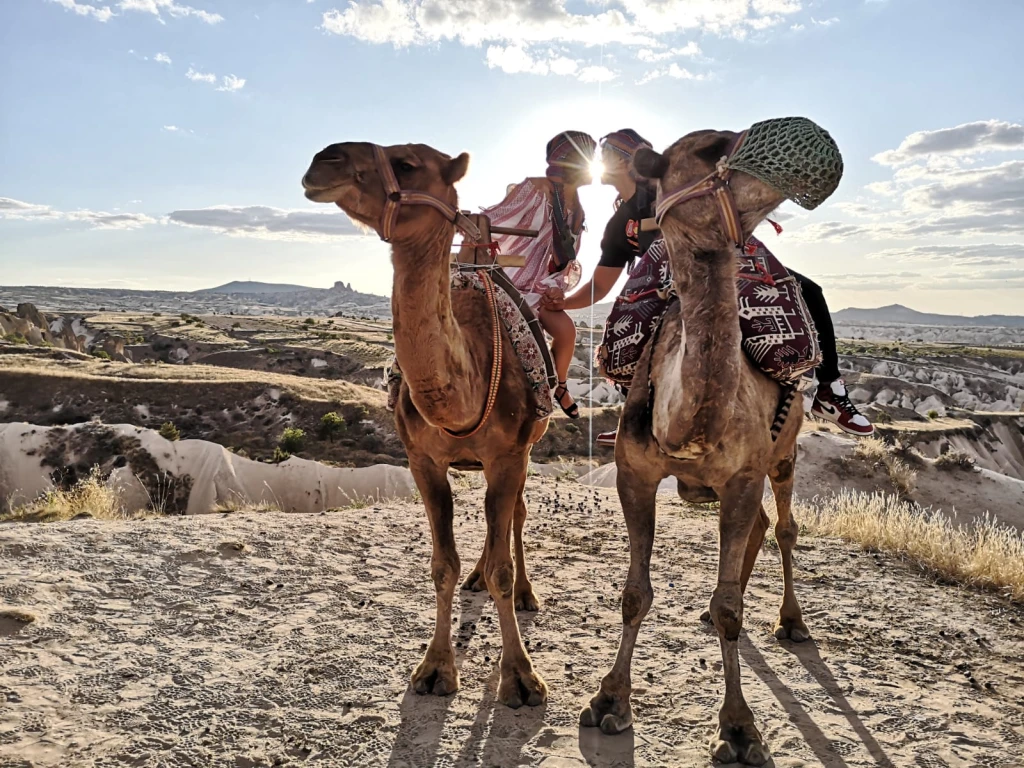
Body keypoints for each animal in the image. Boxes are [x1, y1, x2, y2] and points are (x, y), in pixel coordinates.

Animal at [301, 142, 549, 708]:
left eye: (408, 163)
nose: (322, 160)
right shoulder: (422, 461)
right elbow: (442, 565)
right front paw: (435, 668)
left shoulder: (509, 456)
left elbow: (503, 562)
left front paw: (521, 677)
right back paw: (477, 577)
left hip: (527, 449)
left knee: (516, 518)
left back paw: (526, 592)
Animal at [579, 121, 842, 765]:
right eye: (709, 148)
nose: (812, 143)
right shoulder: (634, 474)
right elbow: (635, 593)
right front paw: (609, 701)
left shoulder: (743, 475)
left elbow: (729, 609)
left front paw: (740, 728)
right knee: (757, 534)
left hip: (784, 454)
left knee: (784, 527)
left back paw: (791, 621)